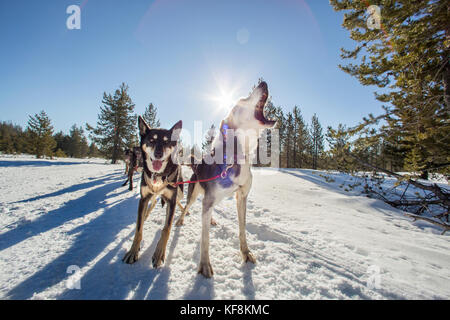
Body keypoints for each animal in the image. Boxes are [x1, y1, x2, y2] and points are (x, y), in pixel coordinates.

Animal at [121, 117, 185, 268]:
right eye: (151, 140)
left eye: (167, 141)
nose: (158, 154)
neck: (158, 175)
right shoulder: (143, 199)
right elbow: (138, 228)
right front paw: (133, 251)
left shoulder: (171, 200)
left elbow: (166, 229)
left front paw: (159, 253)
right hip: (150, 196)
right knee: (152, 204)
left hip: (178, 192)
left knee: (178, 201)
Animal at [178, 80, 276, 278]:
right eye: (242, 100)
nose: (263, 82)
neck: (238, 156)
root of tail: (196, 166)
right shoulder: (209, 199)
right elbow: (205, 239)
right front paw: (204, 264)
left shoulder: (242, 197)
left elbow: (242, 229)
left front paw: (246, 253)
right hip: (194, 194)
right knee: (187, 207)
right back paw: (180, 220)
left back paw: (211, 220)